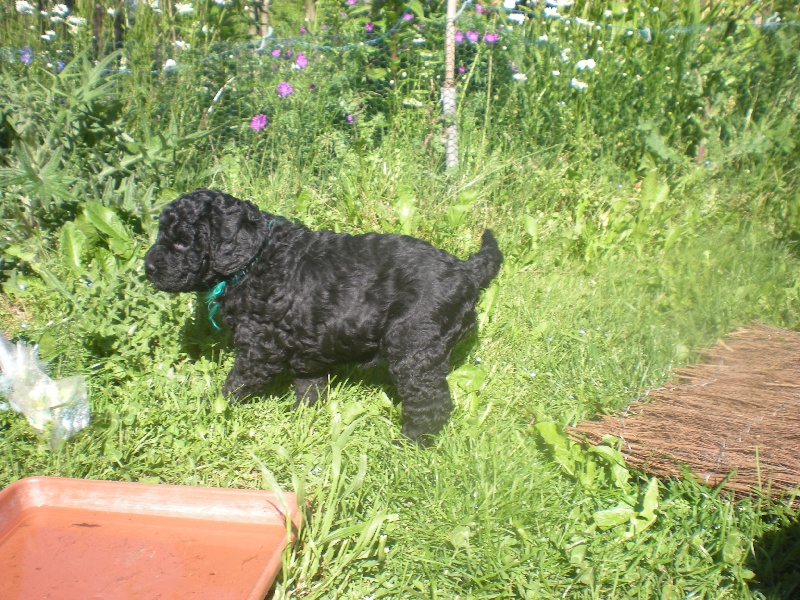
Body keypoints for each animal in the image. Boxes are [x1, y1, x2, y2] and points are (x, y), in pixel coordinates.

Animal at [144, 188, 503, 442]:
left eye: (181, 242)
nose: (147, 268)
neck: (257, 258)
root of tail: (467, 271)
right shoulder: (309, 345)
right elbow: (309, 386)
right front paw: (302, 421)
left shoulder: (259, 348)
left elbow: (234, 385)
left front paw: (209, 410)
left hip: (415, 346)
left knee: (431, 401)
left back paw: (409, 443)